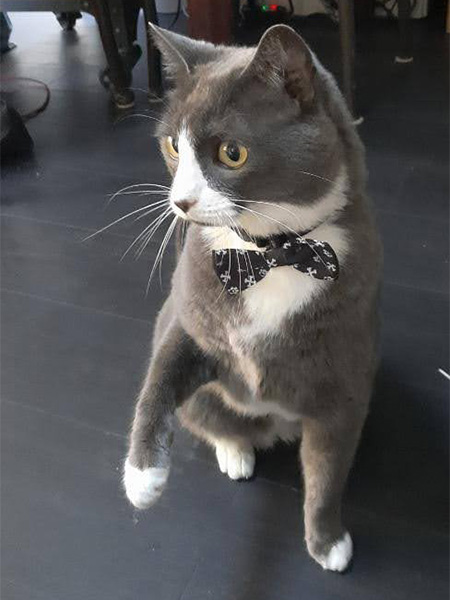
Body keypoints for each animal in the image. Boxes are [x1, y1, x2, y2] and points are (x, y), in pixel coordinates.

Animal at [122, 23, 380, 576]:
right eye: (173, 145)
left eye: (231, 153)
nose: (180, 202)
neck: (270, 252)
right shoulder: (187, 314)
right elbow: (161, 375)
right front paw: (142, 479)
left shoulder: (344, 380)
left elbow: (328, 471)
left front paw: (329, 543)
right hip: (208, 402)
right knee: (212, 418)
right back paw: (235, 454)